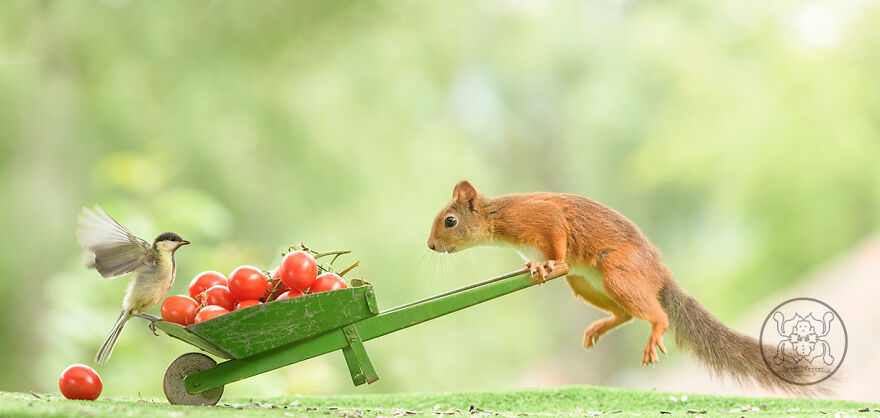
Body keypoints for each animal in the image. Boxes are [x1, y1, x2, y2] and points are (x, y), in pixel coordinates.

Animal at [427, 180, 827, 396]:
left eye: (450, 221)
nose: (430, 246)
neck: (497, 219)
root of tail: (660, 274)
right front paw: (532, 265)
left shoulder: (541, 217)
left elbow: (557, 238)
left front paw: (547, 262)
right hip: (584, 283)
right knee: (623, 314)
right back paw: (601, 325)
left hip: (618, 273)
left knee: (653, 313)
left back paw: (657, 327)